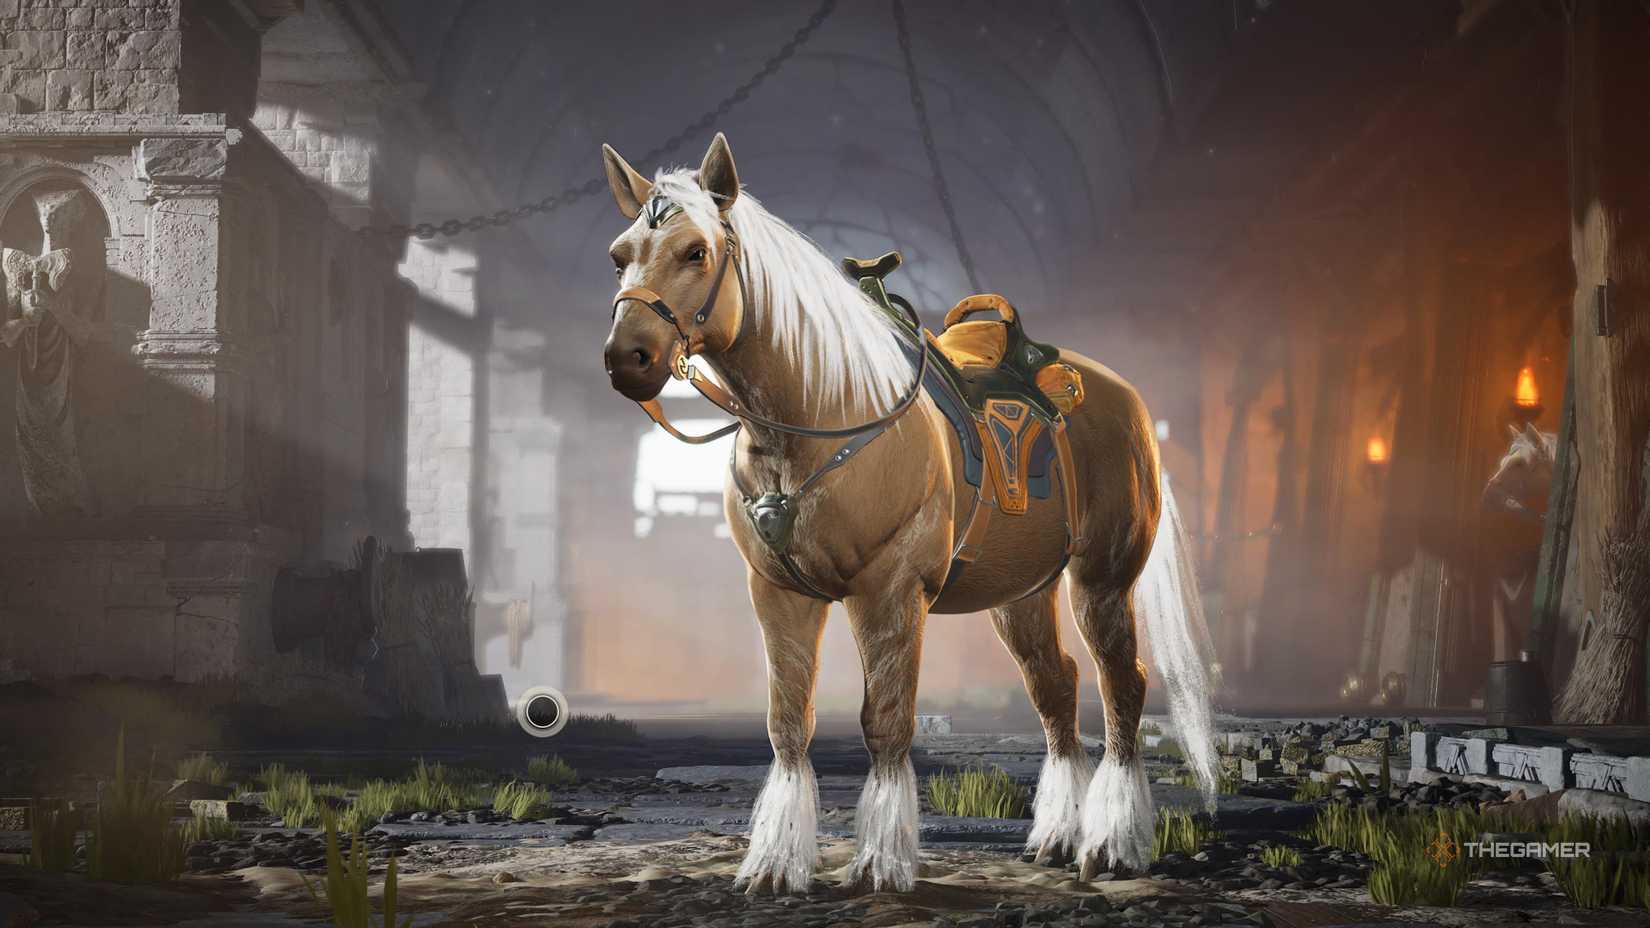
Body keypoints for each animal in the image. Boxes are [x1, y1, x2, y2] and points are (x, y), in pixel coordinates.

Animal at [599, 133, 1218, 893]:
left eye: (695, 252)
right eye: (620, 255)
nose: (628, 358)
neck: (822, 414)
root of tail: (1124, 395)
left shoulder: (890, 592)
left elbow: (887, 723)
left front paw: (880, 864)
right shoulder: (778, 595)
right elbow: (787, 723)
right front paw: (774, 866)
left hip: (1101, 580)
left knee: (1121, 685)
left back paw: (1111, 846)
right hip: (1022, 595)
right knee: (1057, 689)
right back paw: (1057, 838)